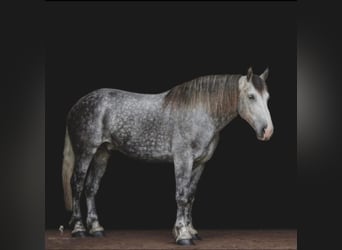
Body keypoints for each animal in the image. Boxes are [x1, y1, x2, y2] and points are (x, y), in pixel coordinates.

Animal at [61, 66, 274, 244]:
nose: (267, 131)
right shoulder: (183, 159)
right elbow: (181, 196)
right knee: (77, 185)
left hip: (102, 153)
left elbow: (190, 196)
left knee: (91, 188)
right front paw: (183, 235)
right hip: (85, 152)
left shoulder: (200, 163)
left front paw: (191, 231)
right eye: (251, 96)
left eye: (267, 97)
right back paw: (79, 229)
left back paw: (96, 228)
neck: (201, 111)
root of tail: (76, 106)